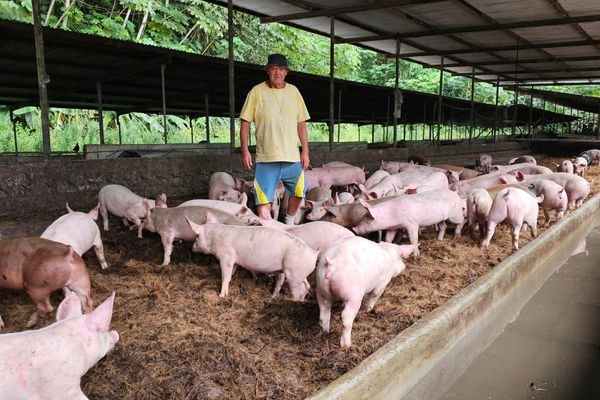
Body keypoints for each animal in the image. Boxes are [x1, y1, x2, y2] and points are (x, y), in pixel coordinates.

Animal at [188, 214, 318, 298]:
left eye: (197, 236)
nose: (192, 247)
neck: (215, 239)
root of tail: (313, 254)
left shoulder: (227, 257)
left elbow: (225, 276)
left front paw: (221, 296)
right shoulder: (234, 260)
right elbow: (232, 273)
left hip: (294, 273)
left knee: (299, 289)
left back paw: (293, 300)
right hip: (300, 273)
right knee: (307, 286)